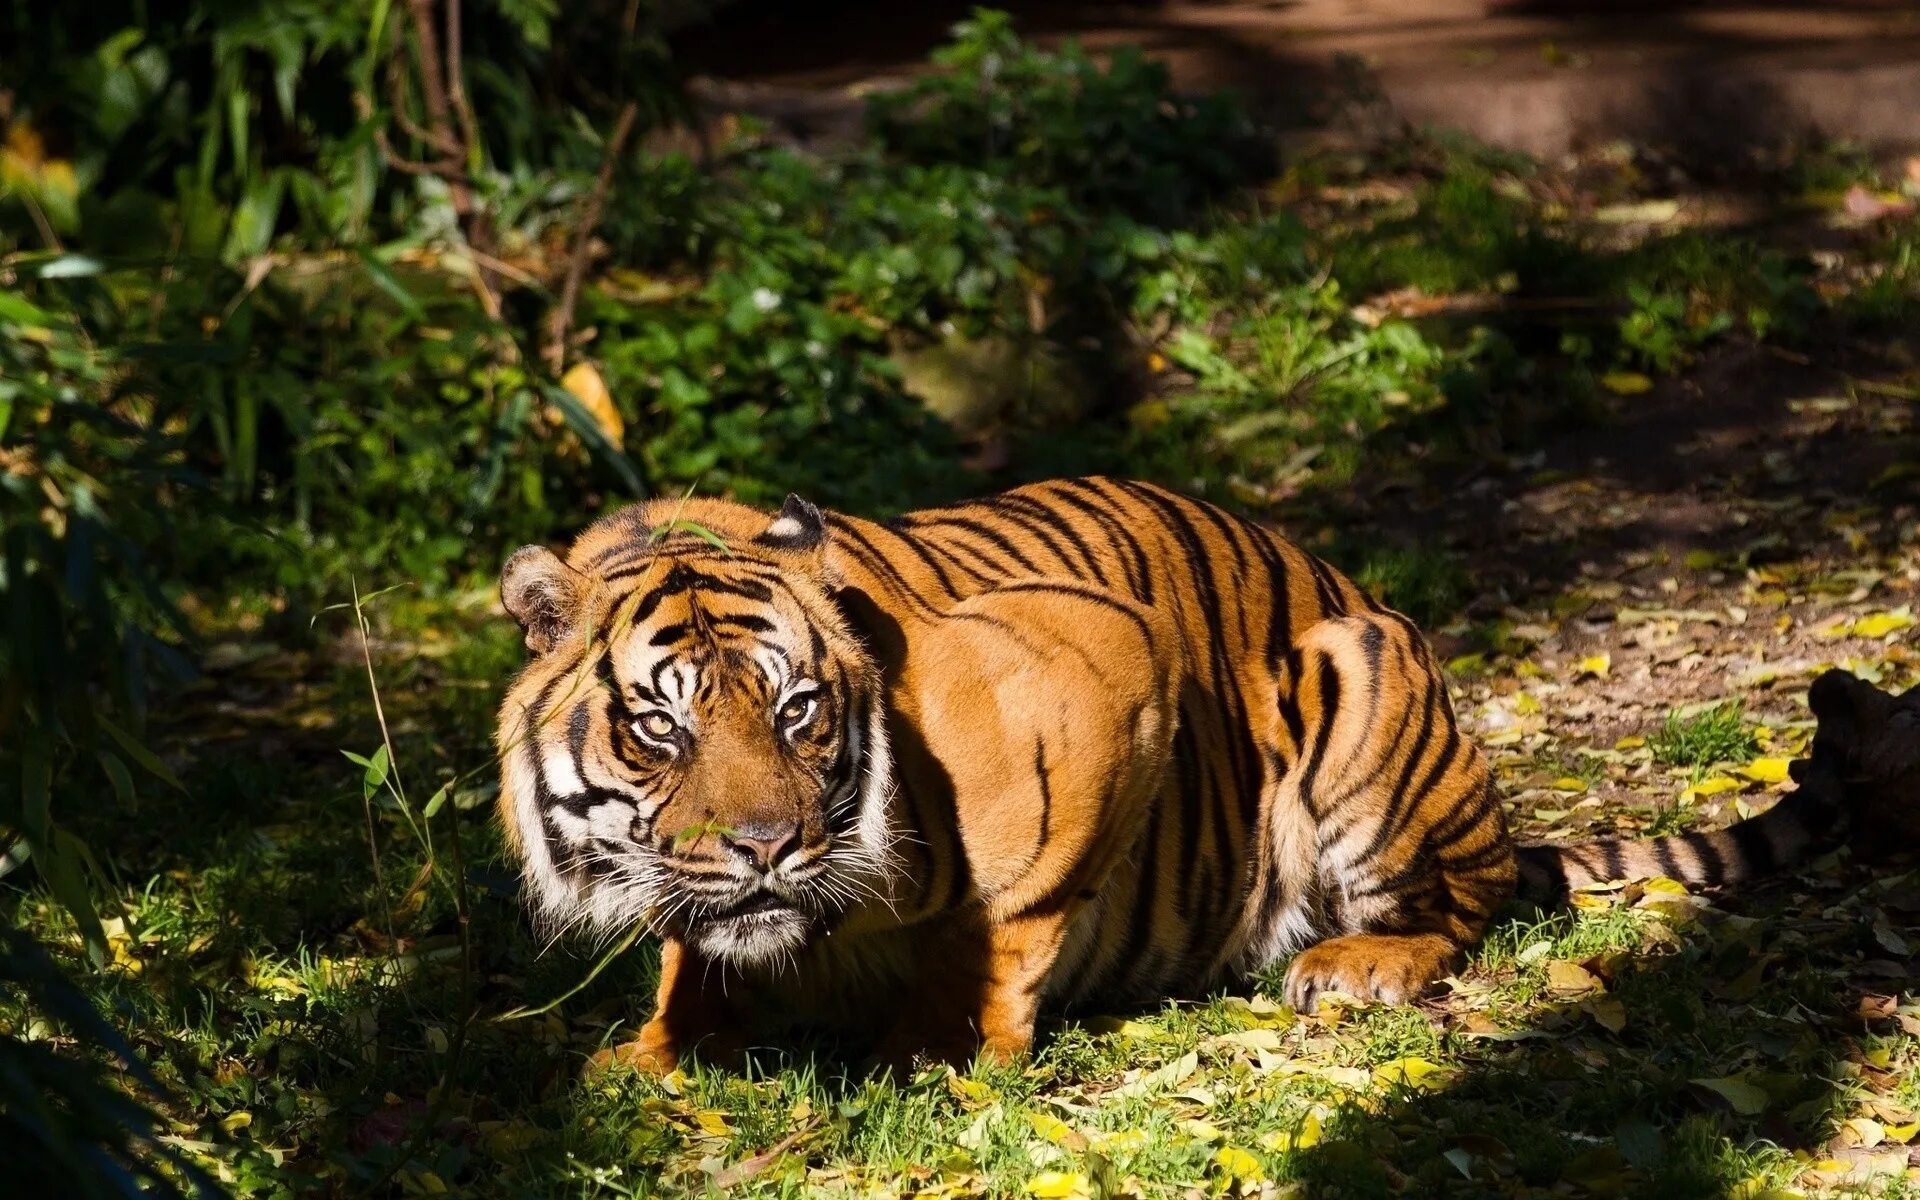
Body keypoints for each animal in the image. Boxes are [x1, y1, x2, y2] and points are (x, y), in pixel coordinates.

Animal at [491, 472, 1843, 1075]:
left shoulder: (1101, 672)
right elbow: (691, 949)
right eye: (661, 729)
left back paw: (1357, 965)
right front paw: (649, 1052)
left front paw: (943, 1050)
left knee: (1469, 905)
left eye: (800, 711)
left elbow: (1003, 919)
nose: (768, 848)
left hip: (1361, 673)